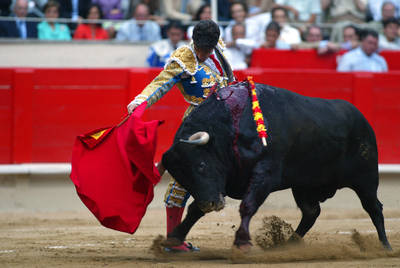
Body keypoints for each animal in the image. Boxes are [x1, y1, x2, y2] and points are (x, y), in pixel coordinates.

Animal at [161, 81, 392, 251]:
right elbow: (194, 210)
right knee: (311, 212)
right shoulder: (225, 180)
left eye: (201, 165)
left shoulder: (265, 173)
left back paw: (385, 246)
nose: (210, 204)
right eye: (182, 178)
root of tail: (361, 118)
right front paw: (175, 238)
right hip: (304, 185)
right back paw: (289, 244)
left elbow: (248, 205)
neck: (231, 126)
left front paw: (242, 243)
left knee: (374, 208)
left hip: (366, 179)